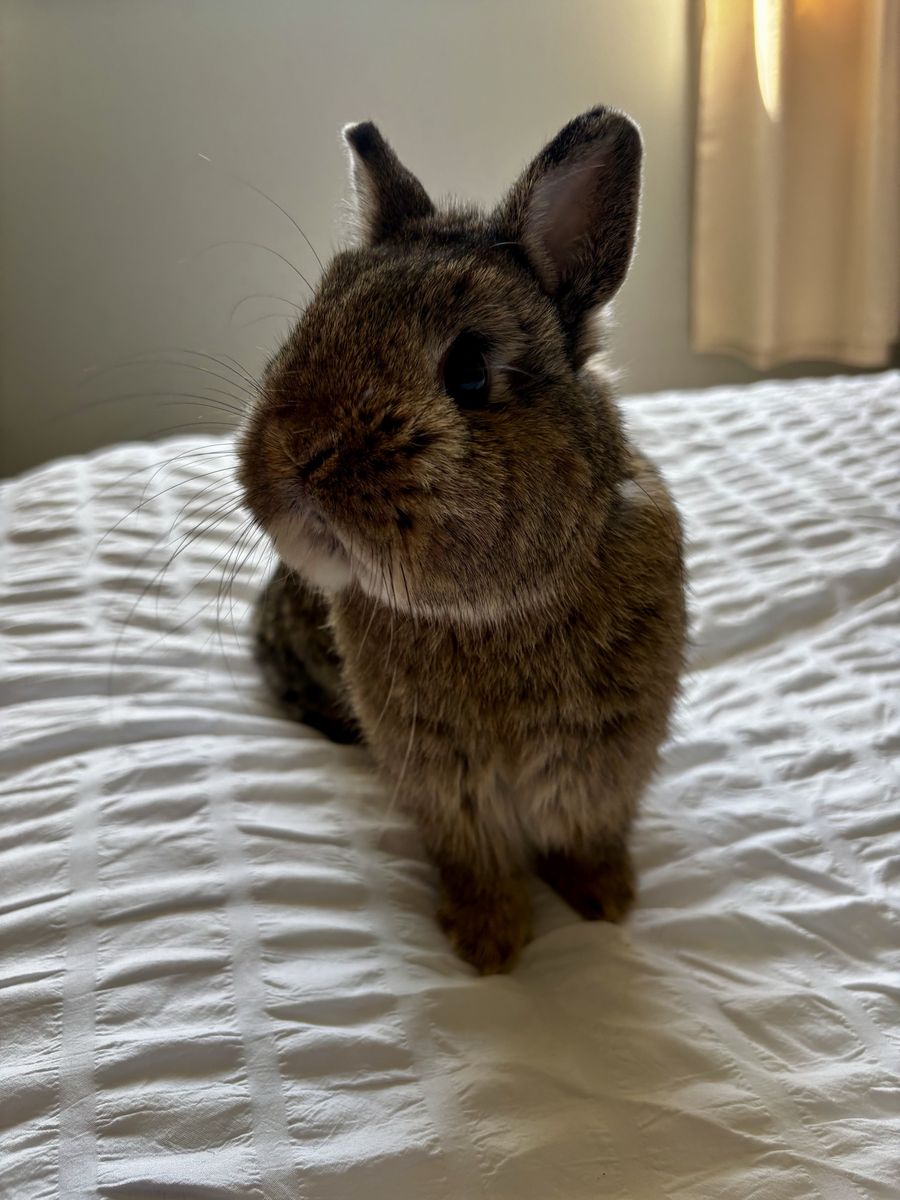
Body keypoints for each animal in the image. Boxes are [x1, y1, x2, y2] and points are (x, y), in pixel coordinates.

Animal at [238, 106, 686, 974]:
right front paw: (491, 946)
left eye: (471, 371)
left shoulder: (603, 760)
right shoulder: (445, 785)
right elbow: (473, 858)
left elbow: (585, 835)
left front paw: (605, 901)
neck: (492, 609)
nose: (296, 452)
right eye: (312, 320)